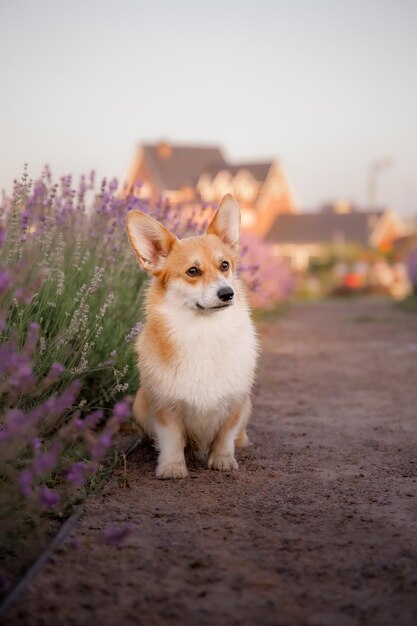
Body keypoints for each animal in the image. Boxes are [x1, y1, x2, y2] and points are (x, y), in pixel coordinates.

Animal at [126, 195, 256, 478]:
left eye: (225, 265)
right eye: (193, 271)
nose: (227, 293)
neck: (203, 331)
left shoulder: (235, 405)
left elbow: (225, 436)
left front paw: (223, 461)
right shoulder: (164, 408)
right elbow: (172, 439)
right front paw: (172, 467)